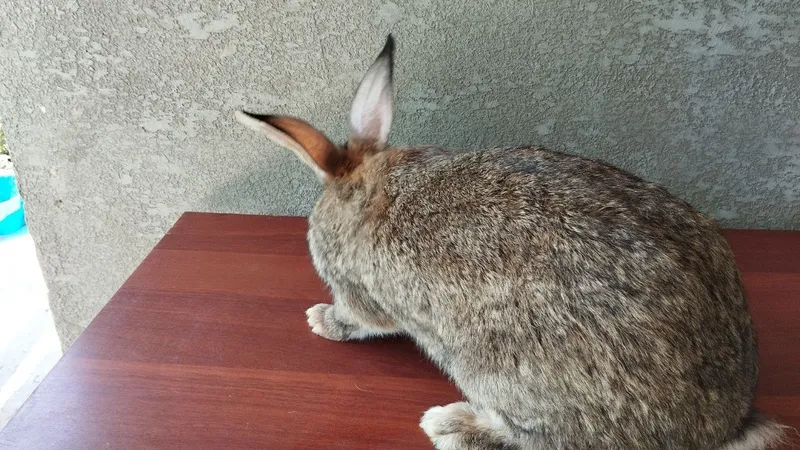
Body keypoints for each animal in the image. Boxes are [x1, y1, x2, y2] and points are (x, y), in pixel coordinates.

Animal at [235, 35, 786, 450]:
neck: (369, 188)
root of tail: (724, 424)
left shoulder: (361, 295)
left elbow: (360, 319)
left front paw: (321, 321)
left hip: (495, 369)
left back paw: (450, 425)